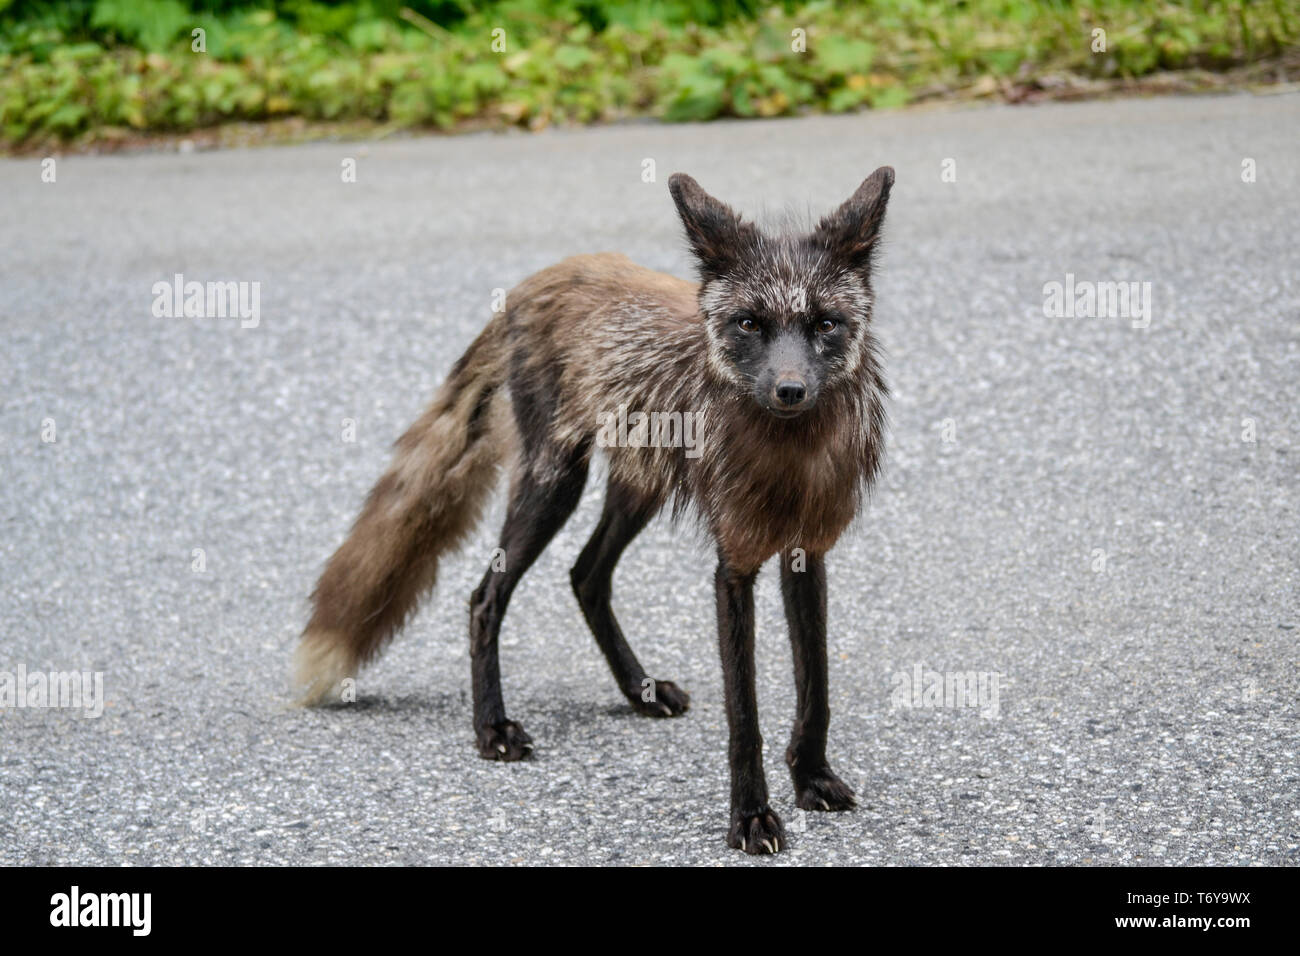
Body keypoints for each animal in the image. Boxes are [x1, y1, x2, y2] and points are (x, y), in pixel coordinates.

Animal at [297, 167, 894, 858]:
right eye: (749, 323)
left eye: (825, 323)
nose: (789, 390)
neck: (789, 461)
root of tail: (543, 277)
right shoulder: (734, 564)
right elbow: (744, 716)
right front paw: (750, 816)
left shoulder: (807, 550)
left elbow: (815, 687)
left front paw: (814, 778)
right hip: (554, 485)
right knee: (485, 597)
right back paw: (492, 727)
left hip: (638, 487)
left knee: (586, 575)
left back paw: (638, 691)